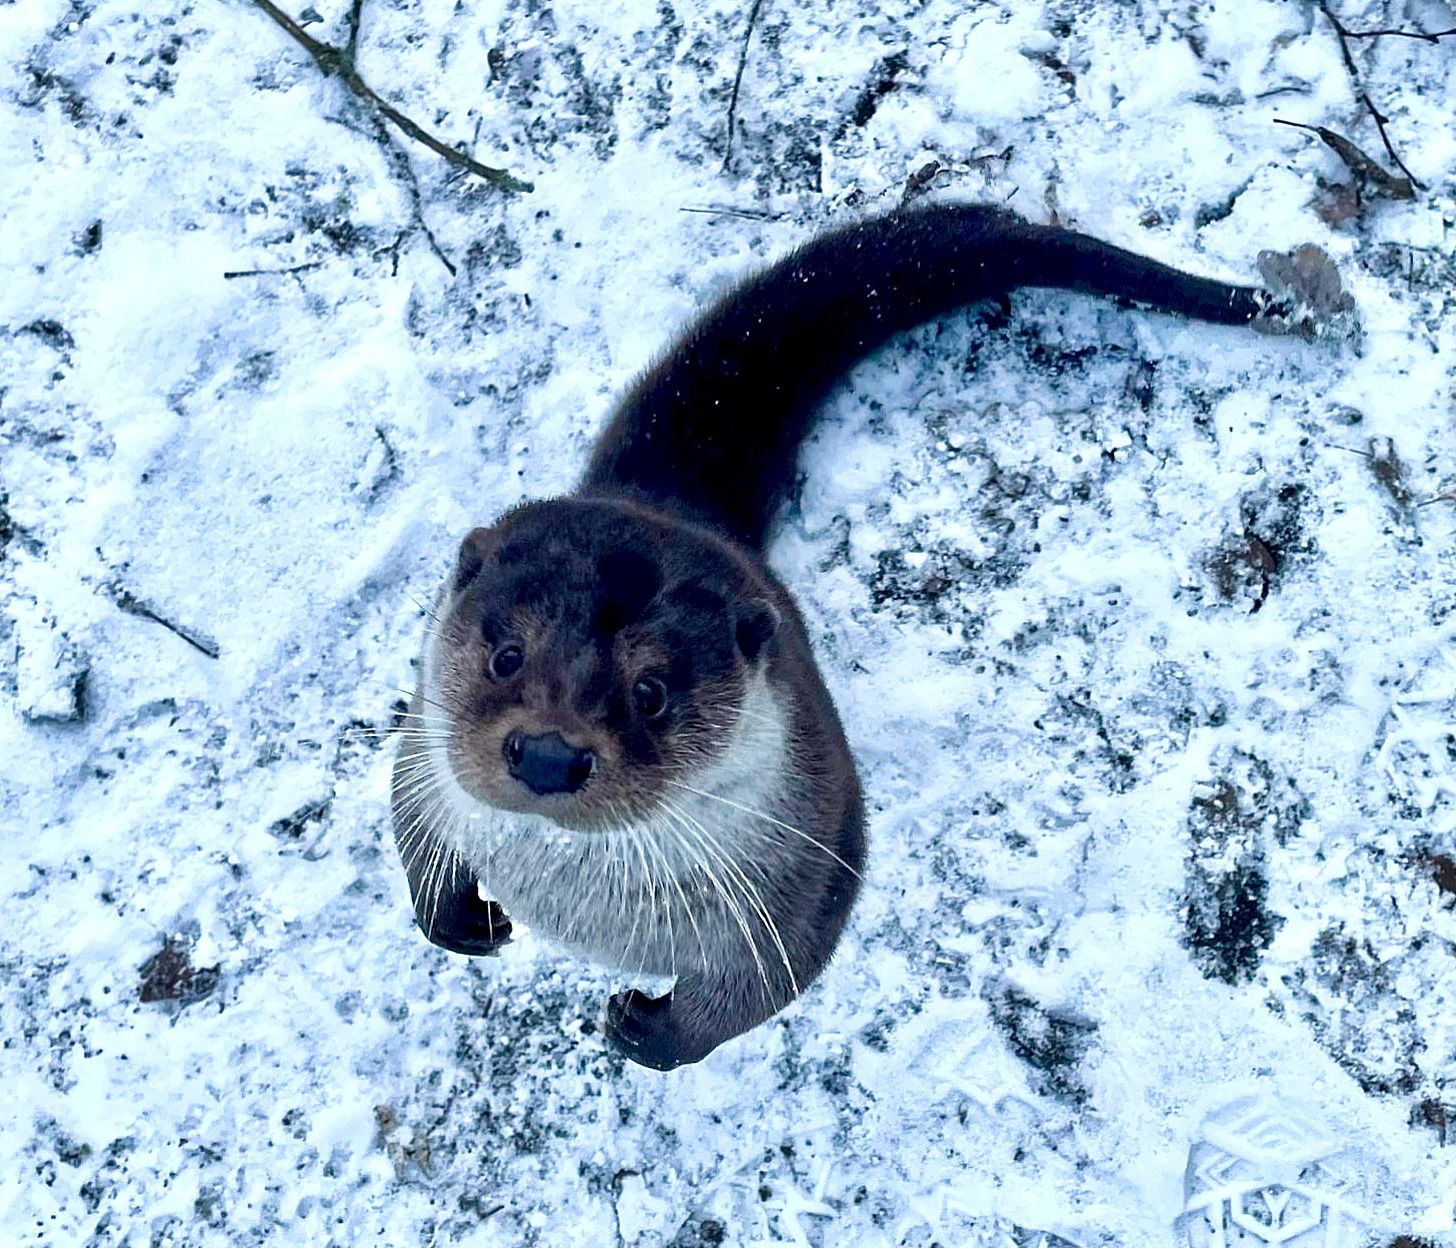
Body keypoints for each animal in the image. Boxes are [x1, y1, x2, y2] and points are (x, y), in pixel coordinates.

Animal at [390, 199, 1287, 1065]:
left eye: (652, 692)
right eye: (506, 654)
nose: (549, 753)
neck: (577, 908)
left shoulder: (811, 872)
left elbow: (757, 991)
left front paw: (651, 1032)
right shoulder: (415, 731)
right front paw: (458, 917)